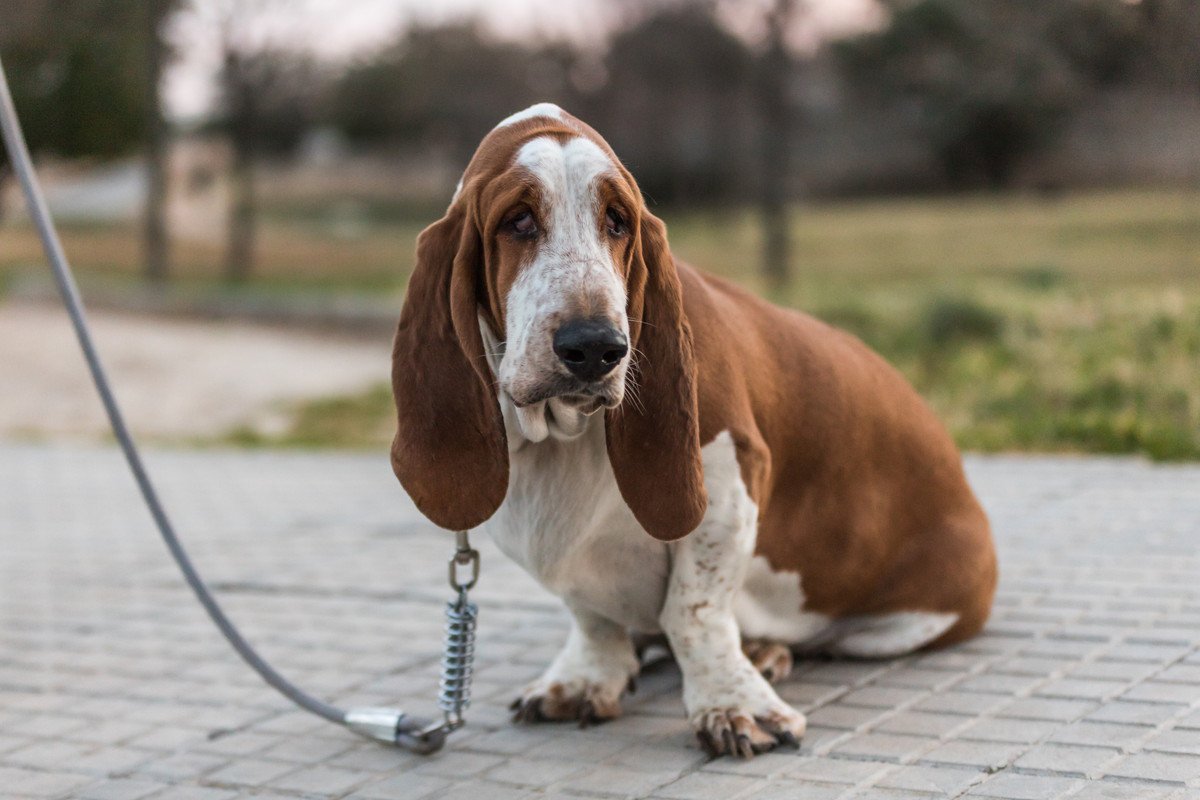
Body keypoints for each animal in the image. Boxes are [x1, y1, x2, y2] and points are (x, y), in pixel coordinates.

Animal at [388, 101, 998, 758]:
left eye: (618, 222)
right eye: (518, 219)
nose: (596, 347)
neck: (565, 435)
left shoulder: (728, 483)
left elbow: (694, 612)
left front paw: (733, 706)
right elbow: (591, 614)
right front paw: (585, 679)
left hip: (912, 617)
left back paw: (762, 651)